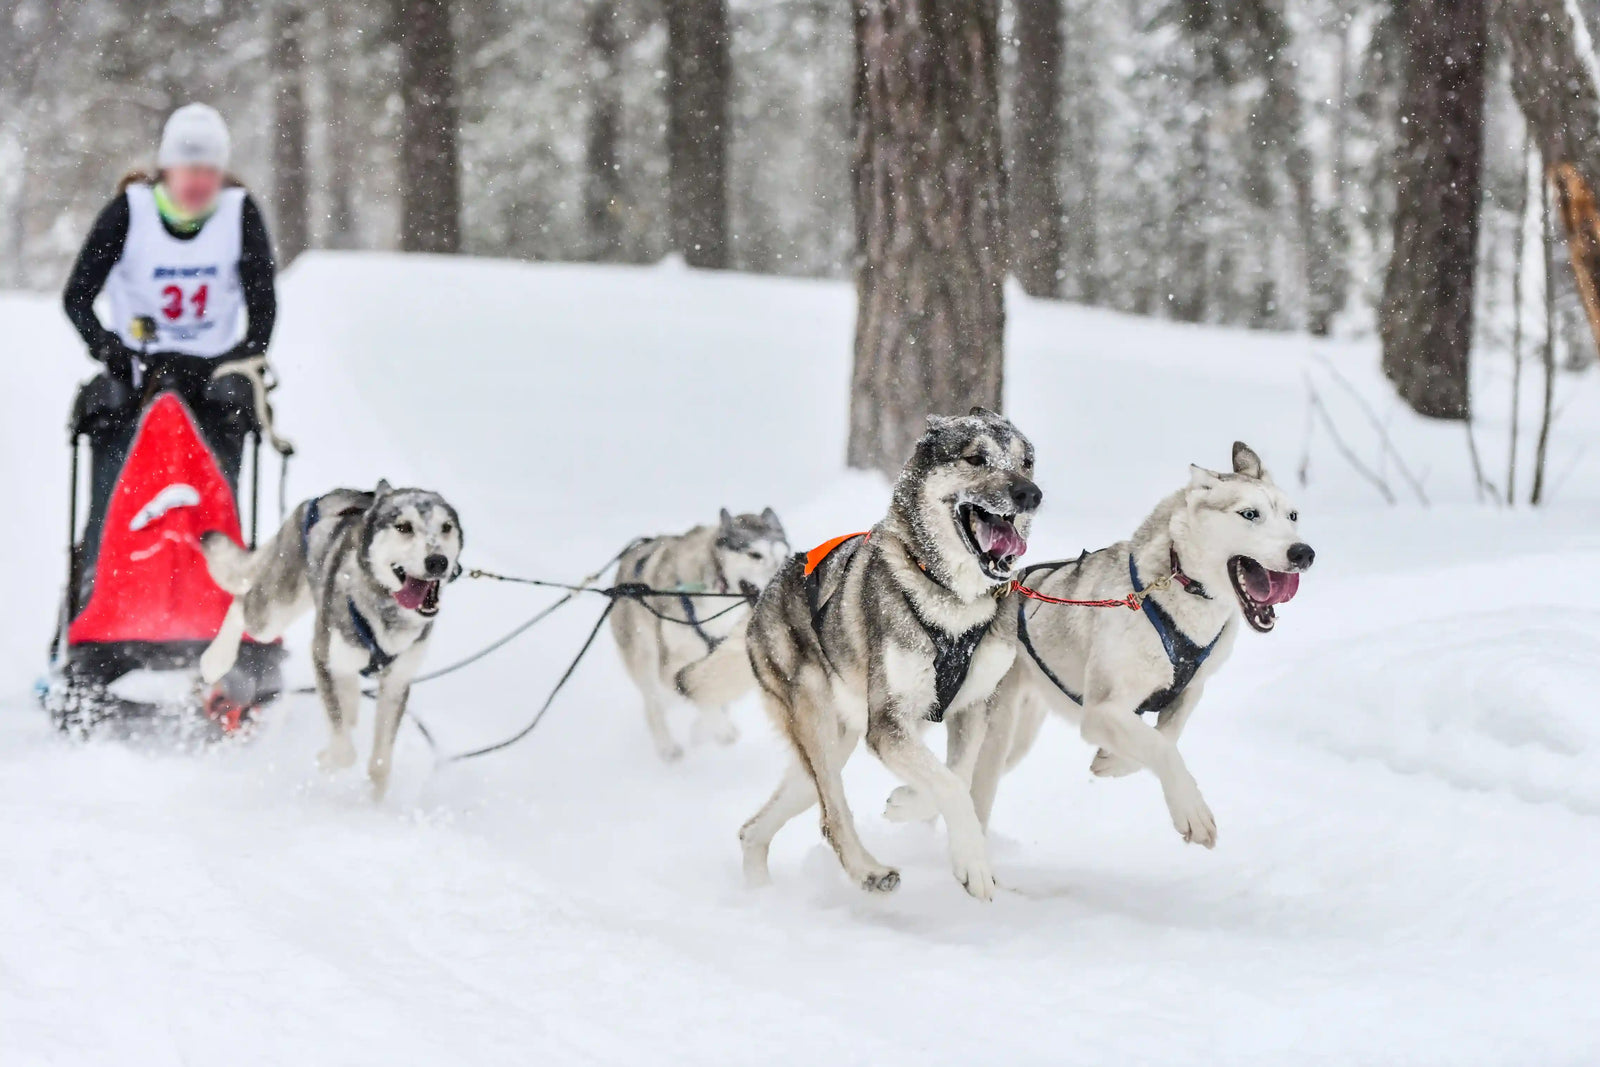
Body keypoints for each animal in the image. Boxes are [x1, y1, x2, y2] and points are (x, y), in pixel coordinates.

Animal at [195, 479, 464, 796]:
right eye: (403, 527)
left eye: (446, 527)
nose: (438, 561)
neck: (386, 610)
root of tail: (327, 496)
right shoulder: (323, 658)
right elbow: (344, 751)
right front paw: (326, 760)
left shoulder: (396, 683)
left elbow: (380, 765)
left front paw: (375, 801)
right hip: (274, 613)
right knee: (240, 604)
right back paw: (216, 661)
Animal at [608, 508, 790, 758]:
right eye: (755, 555)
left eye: (785, 557)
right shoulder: (671, 664)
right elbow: (700, 695)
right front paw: (718, 727)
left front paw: (706, 728)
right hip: (645, 657)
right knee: (653, 704)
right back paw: (666, 746)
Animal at [710, 409, 1036, 902]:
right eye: (976, 458)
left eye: (1027, 461)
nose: (1031, 494)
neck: (953, 602)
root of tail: (768, 588)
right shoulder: (886, 725)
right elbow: (951, 784)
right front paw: (973, 865)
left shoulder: (974, 707)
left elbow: (956, 774)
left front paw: (909, 806)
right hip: (817, 719)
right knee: (831, 816)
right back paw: (868, 872)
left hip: (832, 743)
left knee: (754, 829)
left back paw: (761, 895)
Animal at [896, 441, 1305, 851]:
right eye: (1249, 514)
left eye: (1293, 516)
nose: (1304, 552)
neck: (1176, 595)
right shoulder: (1101, 711)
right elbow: (1161, 747)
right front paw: (1192, 812)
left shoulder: (1190, 691)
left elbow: (1165, 736)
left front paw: (1112, 761)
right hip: (997, 729)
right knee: (972, 786)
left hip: (1019, 736)